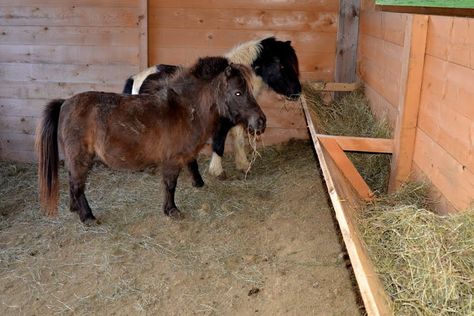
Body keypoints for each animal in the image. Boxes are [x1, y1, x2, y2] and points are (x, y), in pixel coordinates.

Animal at [36, 57, 266, 225]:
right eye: (238, 92)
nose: (261, 121)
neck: (185, 109)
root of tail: (65, 103)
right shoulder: (172, 160)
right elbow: (170, 185)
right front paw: (172, 210)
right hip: (81, 158)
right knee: (77, 185)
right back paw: (88, 217)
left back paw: (74, 208)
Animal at [122, 36, 300, 179]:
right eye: (282, 66)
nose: (297, 92)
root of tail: (138, 77)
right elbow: (219, 144)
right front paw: (217, 171)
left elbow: (239, 140)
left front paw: (243, 165)